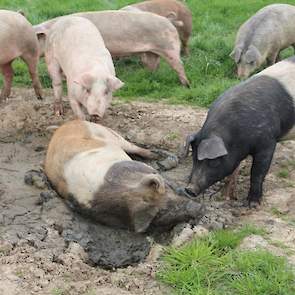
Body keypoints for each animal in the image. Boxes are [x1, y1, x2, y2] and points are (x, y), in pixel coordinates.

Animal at [34, 10, 191, 86]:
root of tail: (169, 20)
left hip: (169, 46)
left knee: (179, 64)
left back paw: (186, 85)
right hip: (151, 51)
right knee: (154, 65)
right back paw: (150, 78)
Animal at [45, 120, 205, 234]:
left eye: (167, 192)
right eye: (161, 212)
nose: (199, 209)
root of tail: (65, 124)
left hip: (111, 135)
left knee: (142, 150)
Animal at [182, 56, 295, 207]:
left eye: (213, 162)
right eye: (194, 158)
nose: (189, 189)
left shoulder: (268, 141)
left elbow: (258, 172)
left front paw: (252, 204)